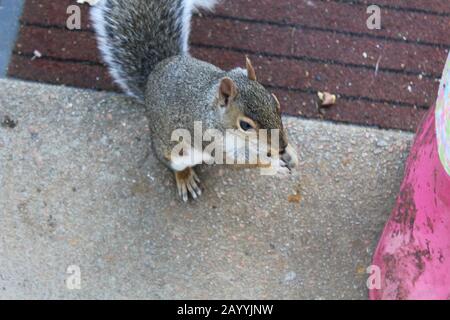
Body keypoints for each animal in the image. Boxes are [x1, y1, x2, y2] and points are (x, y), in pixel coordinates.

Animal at [90, 0, 298, 200]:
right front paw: (272, 165)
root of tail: (153, 73)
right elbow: (235, 161)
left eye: (276, 103)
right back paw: (185, 178)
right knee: (176, 166)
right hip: (172, 153)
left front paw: (290, 154)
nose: (282, 146)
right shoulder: (206, 136)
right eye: (245, 125)